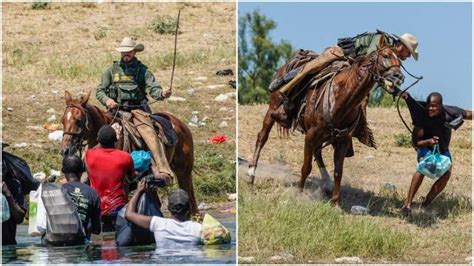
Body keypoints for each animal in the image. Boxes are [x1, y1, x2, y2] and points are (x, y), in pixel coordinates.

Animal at [61, 91, 198, 214]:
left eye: (78, 120)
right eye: (62, 120)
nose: (65, 150)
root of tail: (180, 124)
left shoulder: (124, 186)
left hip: (183, 172)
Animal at [248, 35, 404, 206]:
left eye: (400, 60)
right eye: (385, 56)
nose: (399, 77)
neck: (341, 97)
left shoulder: (342, 140)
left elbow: (338, 171)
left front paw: (335, 202)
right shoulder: (310, 135)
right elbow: (306, 167)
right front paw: (299, 193)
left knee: (317, 151)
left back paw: (327, 183)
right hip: (272, 109)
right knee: (262, 137)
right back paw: (251, 174)